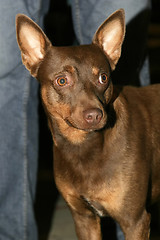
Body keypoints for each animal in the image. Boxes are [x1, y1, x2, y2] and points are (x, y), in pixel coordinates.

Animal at [15, 9, 160, 240]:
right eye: (62, 81)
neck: (83, 147)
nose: (94, 115)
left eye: (103, 78)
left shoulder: (135, 221)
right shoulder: (84, 218)